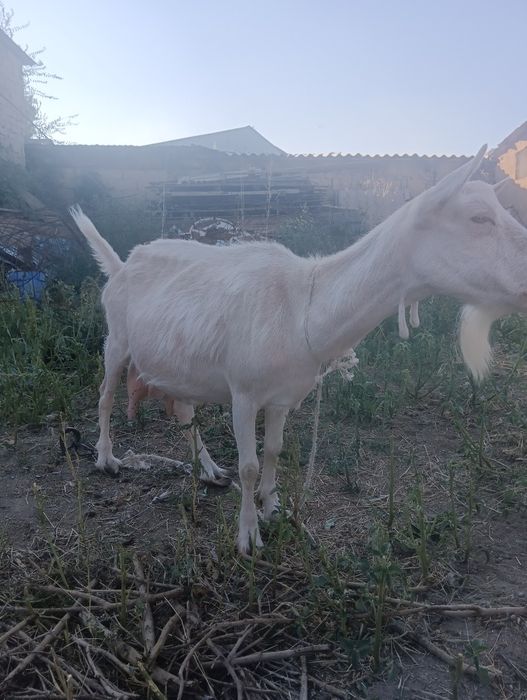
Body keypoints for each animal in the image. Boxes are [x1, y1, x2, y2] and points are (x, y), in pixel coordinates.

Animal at [70, 145, 527, 553]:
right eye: (479, 217)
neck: (302, 309)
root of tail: (122, 265)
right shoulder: (243, 392)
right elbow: (250, 465)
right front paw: (248, 537)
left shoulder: (282, 397)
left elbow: (273, 452)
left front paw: (272, 507)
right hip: (117, 337)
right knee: (105, 394)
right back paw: (106, 458)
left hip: (181, 363)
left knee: (184, 410)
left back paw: (210, 470)